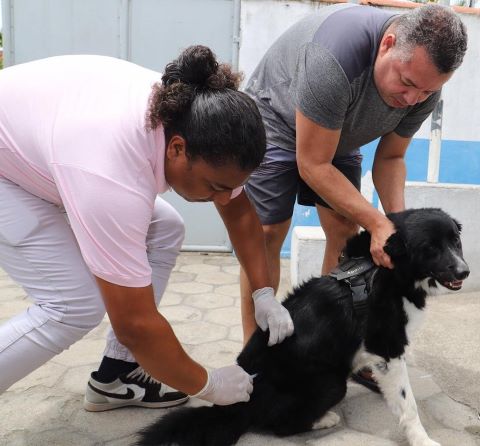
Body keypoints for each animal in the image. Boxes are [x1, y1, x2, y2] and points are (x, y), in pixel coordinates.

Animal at [136, 208, 468, 446]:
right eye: (430, 247)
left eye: (455, 240)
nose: (464, 271)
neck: (386, 269)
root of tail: (236, 407)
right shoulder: (387, 347)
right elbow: (408, 404)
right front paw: (422, 440)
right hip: (332, 382)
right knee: (280, 426)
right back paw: (324, 419)